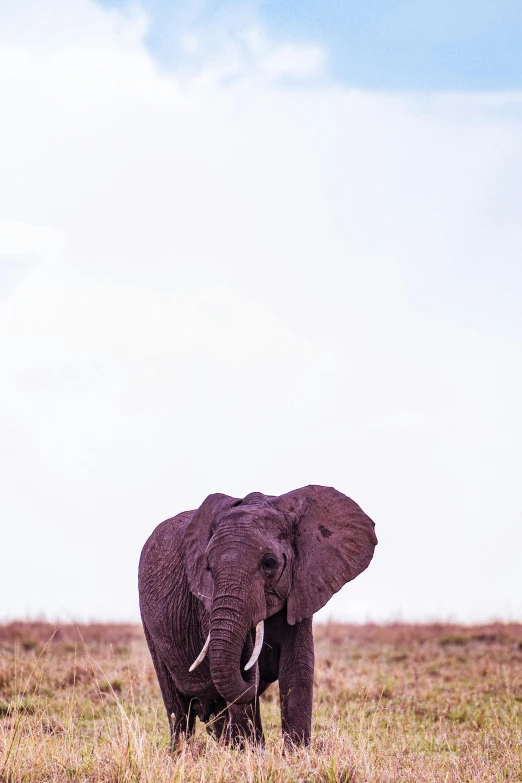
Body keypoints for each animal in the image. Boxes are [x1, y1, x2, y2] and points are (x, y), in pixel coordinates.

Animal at [137, 484, 374, 748]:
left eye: (269, 563)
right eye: (209, 567)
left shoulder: (302, 586)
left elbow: (298, 668)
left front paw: (296, 755)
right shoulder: (206, 601)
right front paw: (253, 754)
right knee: (179, 712)